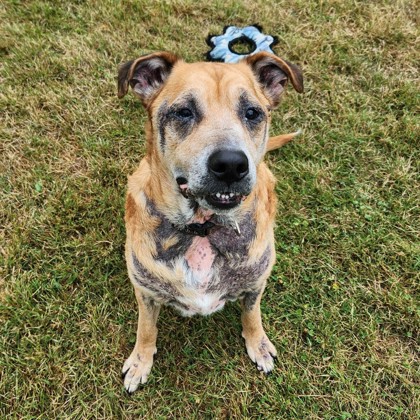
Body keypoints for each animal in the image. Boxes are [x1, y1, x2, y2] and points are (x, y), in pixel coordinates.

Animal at [116, 52, 304, 394]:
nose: (230, 164)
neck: (202, 229)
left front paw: (258, 344)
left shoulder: (255, 284)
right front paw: (140, 361)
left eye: (252, 113)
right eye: (184, 112)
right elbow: (146, 328)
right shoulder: (145, 292)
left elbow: (252, 315)